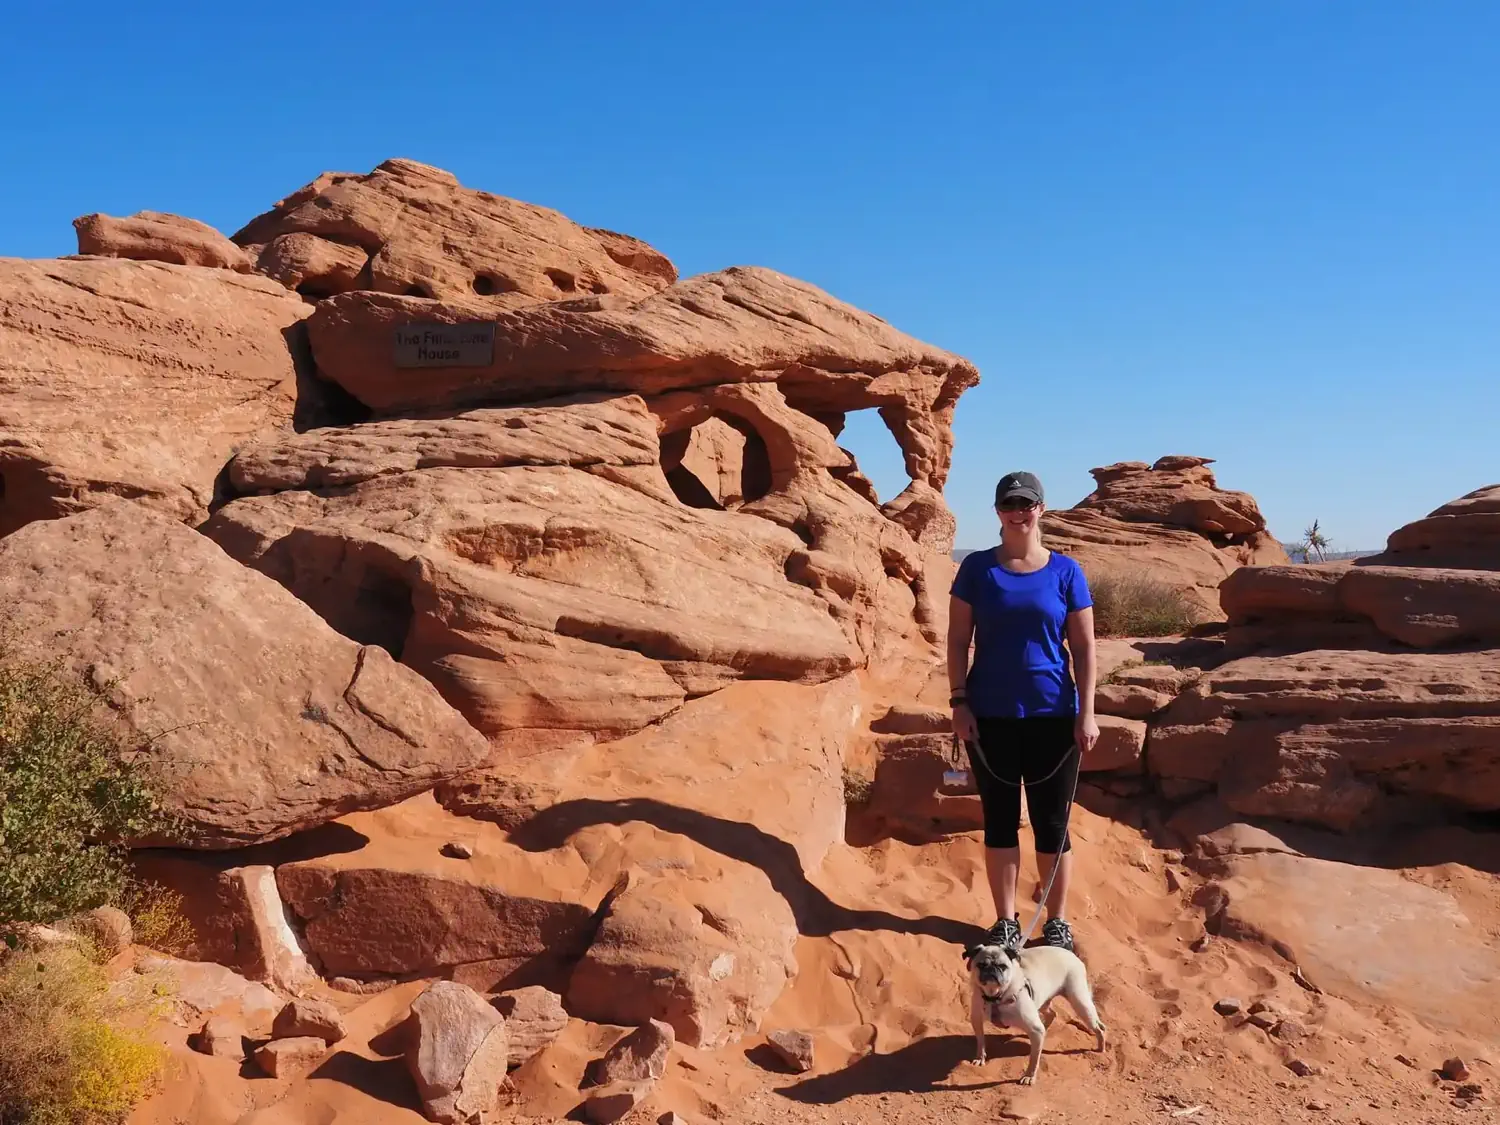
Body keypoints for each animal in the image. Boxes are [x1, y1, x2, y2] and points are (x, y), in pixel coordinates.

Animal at [960, 948, 1104, 1086]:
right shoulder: (976, 1019)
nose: (991, 970)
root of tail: (1072, 955)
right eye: (981, 965)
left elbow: (1034, 1059)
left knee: (1099, 1027)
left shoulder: (1035, 1029)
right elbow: (981, 1042)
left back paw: (1101, 1048)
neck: (995, 997)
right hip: (1043, 1002)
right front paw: (980, 1058)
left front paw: (1029, 1076)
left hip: (1080, 1002)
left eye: (1002, 966)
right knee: (1052, 1014)